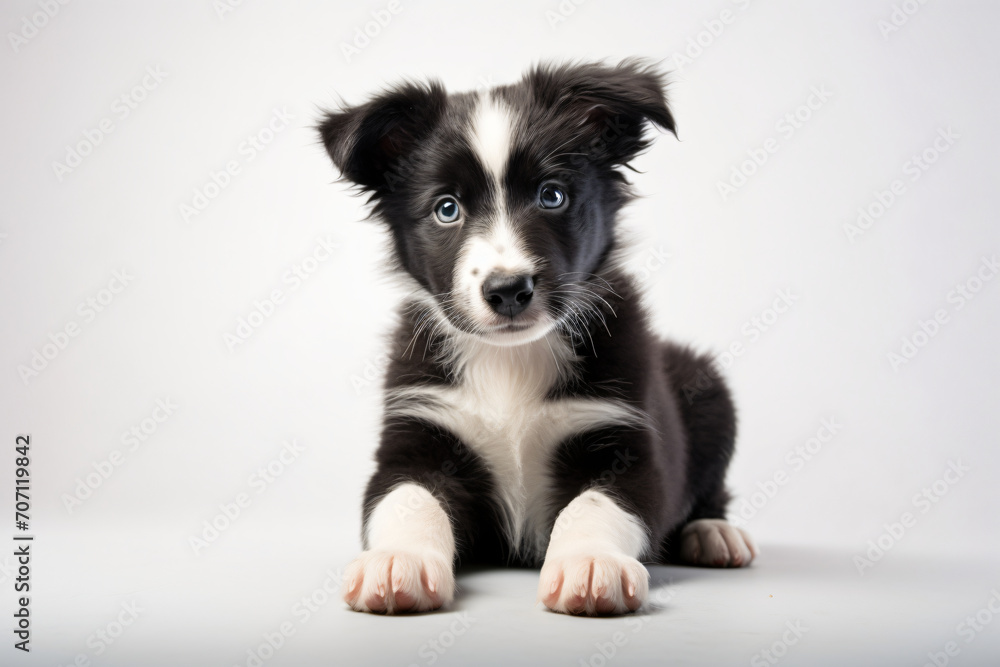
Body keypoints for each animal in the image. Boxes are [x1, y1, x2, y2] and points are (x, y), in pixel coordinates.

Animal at [320, 60, 756, 620]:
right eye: (446, 208)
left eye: (552, 195)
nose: (508, 289)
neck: (510, 360)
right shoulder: (416, 432)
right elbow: (406, 499)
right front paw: (399, 561)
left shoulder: (625, 440)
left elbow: (595, 503)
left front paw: (591, 564)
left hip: (707, 386)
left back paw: (713, 533)